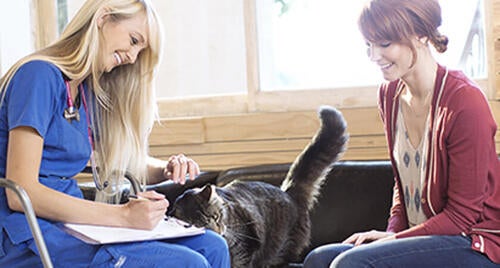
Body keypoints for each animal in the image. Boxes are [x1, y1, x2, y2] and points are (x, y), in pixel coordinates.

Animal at [170, 105, 346, 268]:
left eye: (216, 217)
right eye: (203, 226)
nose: (219, 231)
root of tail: (288, 193)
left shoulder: (244, 249)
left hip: (280, 250)